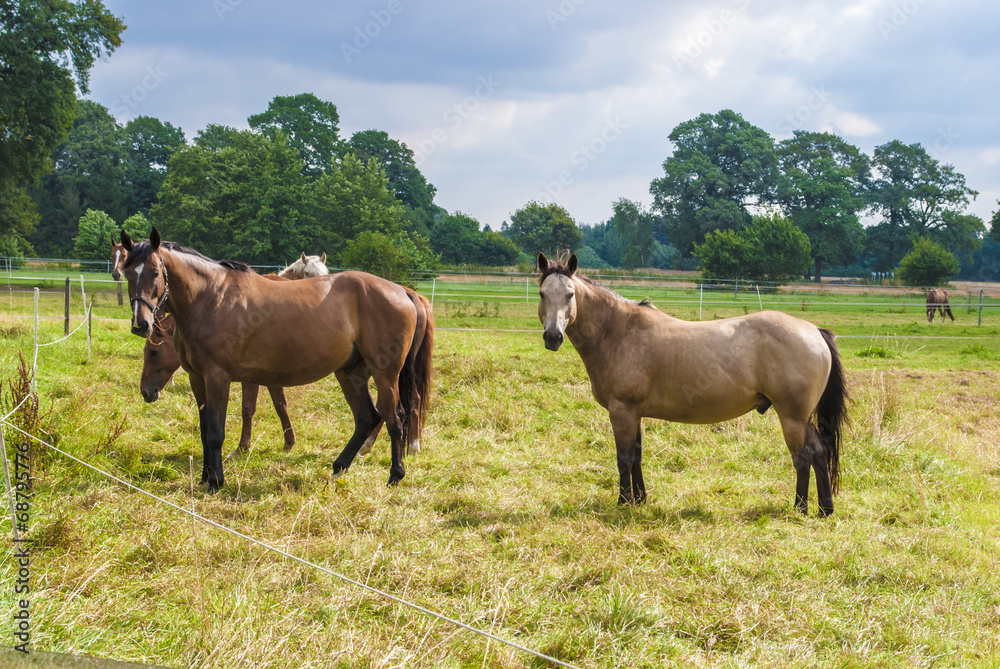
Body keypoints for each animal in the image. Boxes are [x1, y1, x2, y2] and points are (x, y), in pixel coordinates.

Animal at [141, 312, 296, 455]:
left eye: (154, 352)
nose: (145, 391)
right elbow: (280, 405)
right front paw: (289, 442)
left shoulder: (251, 378)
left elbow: (248, 409)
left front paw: (243, 447)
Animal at [536, 253, 847, 517]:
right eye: (542, 294)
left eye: (570, 294)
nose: (552, 337)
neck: (619, 332)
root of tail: (814, 331)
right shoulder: (634, 413)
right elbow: (637, 456)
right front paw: (640, 499)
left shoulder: (622, 411)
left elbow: (624, 457)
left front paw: (623, 502)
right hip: (802, 418)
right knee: (820, 453)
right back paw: (824, 509)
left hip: (792, 417)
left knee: (803, 457)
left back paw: (800, 508)